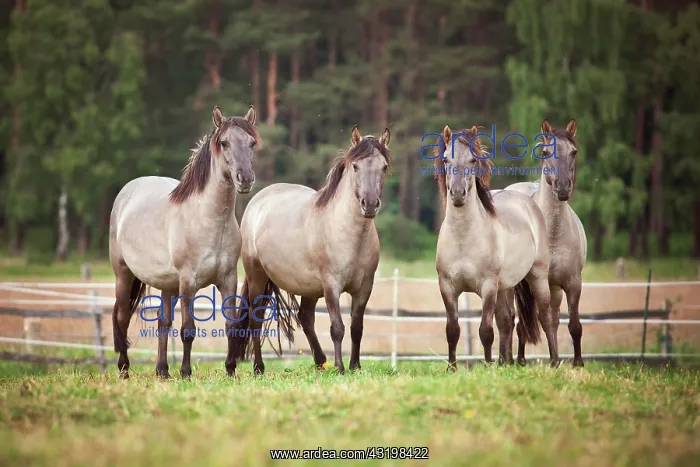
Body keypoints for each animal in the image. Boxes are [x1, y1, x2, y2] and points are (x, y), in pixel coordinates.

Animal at [109, 105, 263, 379]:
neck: (208, 220)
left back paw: (162, 371)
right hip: (124, 275)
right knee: (122, 318)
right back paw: (125, 370)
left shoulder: (228, 279)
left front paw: (230, 370)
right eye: (224, 143)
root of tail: (126, 193)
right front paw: (186, 372)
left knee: (162, 321)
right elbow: (188, 329)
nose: (244, 179)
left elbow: (231, 325)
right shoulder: (188, 282)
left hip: (167, 283)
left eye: (251, 142)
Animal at [225, 125, 392, 376]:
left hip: (309, 288)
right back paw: (259, 368)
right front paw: (340, 368)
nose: (369, 204)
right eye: (356, 166)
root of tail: (258, 200)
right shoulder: (332, 286)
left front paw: (355, 366)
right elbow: (337, 328)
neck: (349, 236)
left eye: (384, 167)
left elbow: (357, 327)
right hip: (257, 276)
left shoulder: (364, 288)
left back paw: (320, 361)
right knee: (256, 319)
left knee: (305, 318)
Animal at [434, 125, 559, 370]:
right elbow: (452, 330)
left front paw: (488, 366)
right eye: (445, 159)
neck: (463, 240)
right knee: (506, 319)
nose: (457, 194)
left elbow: (485, 331)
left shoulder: (488, 287)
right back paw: (505, 362)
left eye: (473, 160)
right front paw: (452, 368)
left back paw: (554, 362)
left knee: (545, 317)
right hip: (505, 287)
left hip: (537, 276)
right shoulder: (447, 287)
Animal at [503, 118, 587, 367]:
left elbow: (573, 324)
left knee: (554, 318)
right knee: (519, 321)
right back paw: (518, 359)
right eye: (545, 152)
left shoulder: (572, 283)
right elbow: (537, 319)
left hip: (554, 288)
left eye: (573, 152)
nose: (563, 187)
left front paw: (575, 362)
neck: (552, 235)